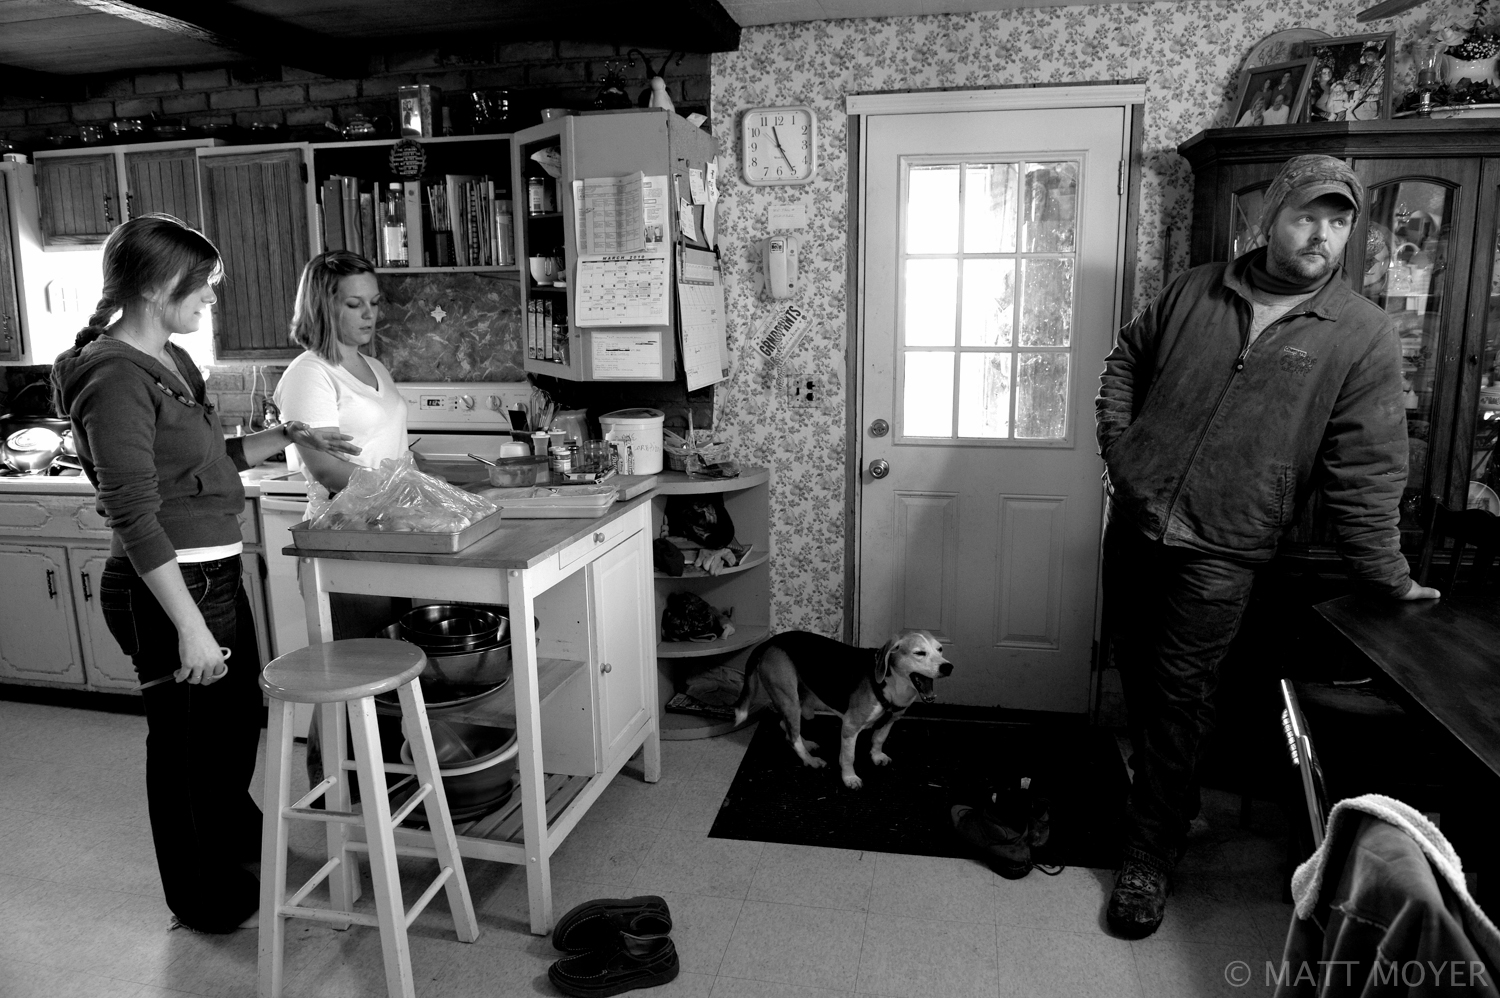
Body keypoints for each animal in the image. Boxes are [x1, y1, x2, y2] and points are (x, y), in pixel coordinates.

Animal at [732, 630, 954, 786]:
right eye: (919, 653)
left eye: (940, 649)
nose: (948, 667)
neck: (891, 684)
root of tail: (769, 642)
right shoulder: (850, 726)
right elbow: (849, 756)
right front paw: (849, 778)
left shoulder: (891, 720)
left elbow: (879, 738)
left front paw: (877, 756)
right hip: (789, 699)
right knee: (792, 737)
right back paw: (810, 760)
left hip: (799, 701)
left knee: (785, 726)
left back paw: (807, 744)